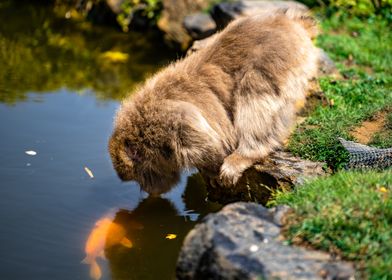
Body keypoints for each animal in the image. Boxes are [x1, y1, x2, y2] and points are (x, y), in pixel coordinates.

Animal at [107, 9, 318, 196]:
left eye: (138, 178)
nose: (147, 190)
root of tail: (291, 23)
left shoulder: (166, 122)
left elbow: (205, 140)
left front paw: (212, 168)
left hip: (278, 59)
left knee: (255, 91)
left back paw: (245, 154)